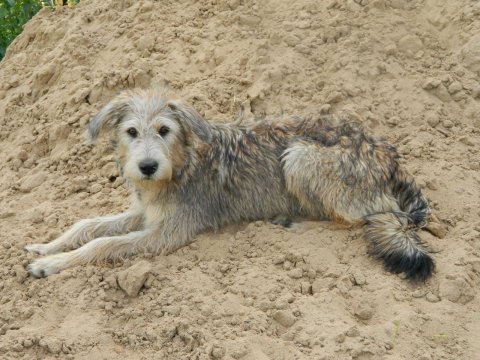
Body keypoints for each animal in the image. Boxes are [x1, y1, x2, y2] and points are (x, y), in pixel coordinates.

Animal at [24, 87, 434, 282]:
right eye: (131, 132)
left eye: (164, 130)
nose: (147, 166)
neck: (181, 165)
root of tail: (390, 155)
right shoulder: (145, 213)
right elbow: (88, 225)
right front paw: (46, 247)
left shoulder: (168, 233)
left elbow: (103, 244)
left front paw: (53, 264)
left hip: (299, 157)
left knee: (357, 219)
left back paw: (294, 224)